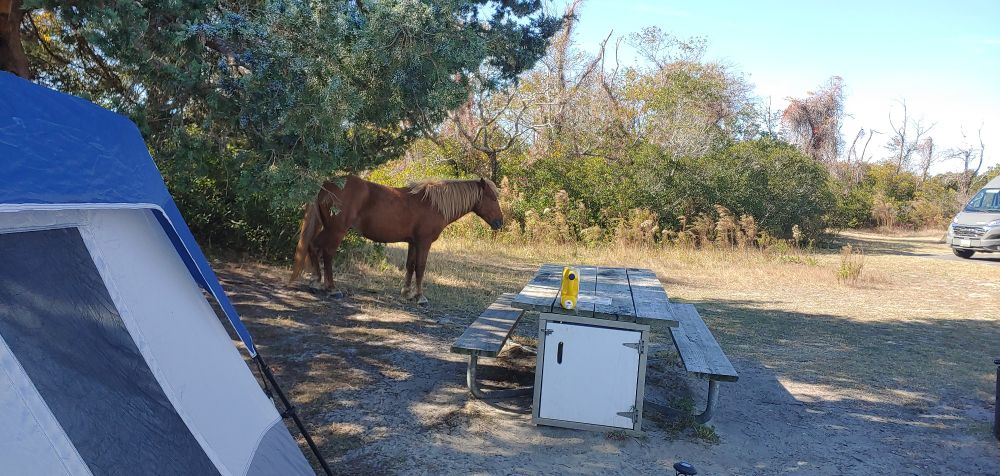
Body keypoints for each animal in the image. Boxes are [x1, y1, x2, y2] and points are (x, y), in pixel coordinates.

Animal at [290, 175, 503, 304]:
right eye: (492, 198)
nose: (500, 222)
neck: (433, 204)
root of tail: (326, 186)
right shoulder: (424, 242)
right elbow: (421, 267)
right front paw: (420, 296)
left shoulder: (413, 242)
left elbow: (410, 266)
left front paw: (406, 292)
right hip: (336, 231)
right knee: (327, 253)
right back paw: (331, 288)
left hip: (328, 229)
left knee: (313, 246)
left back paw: (316, 281)